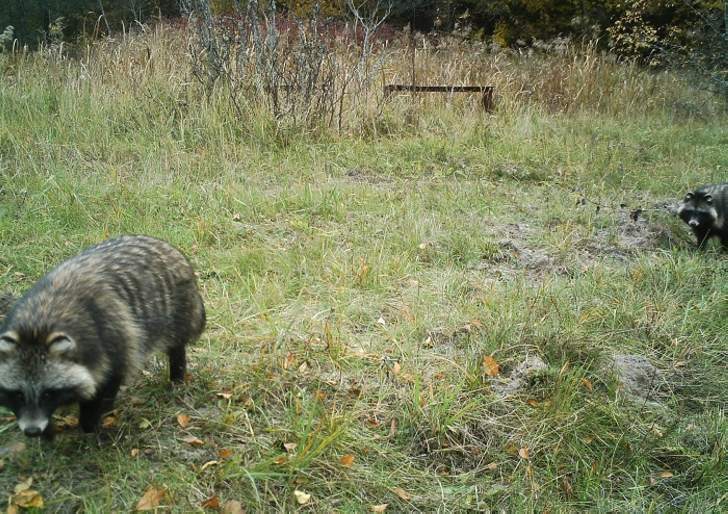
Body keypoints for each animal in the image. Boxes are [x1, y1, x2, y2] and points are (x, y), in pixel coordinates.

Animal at [0, 236, 206, 436]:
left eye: (47, 394)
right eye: (18, 394)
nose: (32, 431)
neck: (39, 323)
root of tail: (164, 245)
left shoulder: (112, 339)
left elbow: (108, 381)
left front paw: (92, 420)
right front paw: (49, 431)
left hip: (179, 310)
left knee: (176, 345)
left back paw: (177, 373)